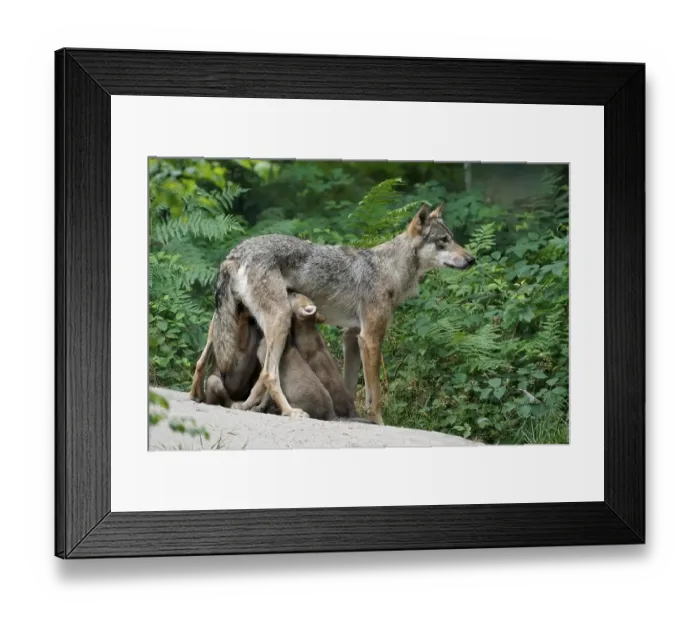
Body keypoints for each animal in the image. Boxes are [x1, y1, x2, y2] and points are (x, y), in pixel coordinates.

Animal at [214, 202, 475, 425]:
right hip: (281, 321)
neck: (389, 270)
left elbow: (348, 385)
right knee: (269, 374)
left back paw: (246, 406)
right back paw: (290, 412)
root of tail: (236, 253)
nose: (472, 259)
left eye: (453, 239)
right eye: (443, 240)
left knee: (261, 378)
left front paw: (352, 415)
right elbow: (374, 394)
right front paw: (377, 422)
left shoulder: (351, 337)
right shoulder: (370, 339)